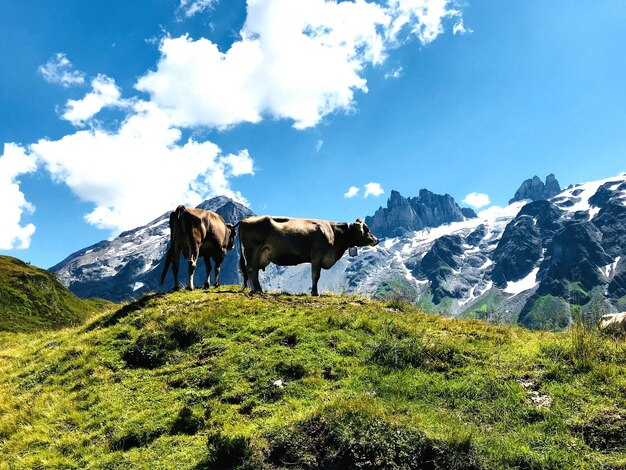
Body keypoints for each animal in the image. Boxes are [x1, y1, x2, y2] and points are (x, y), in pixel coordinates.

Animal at [238, 216, 376, 296]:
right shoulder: (317, 256)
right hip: (253, 250)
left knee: (253, 270)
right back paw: (257, 290)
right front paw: (315, 292)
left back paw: (257, 289)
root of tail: (244, 220)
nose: (376, 240)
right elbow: (315, 276)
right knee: (251, 269)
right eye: (367, 228)